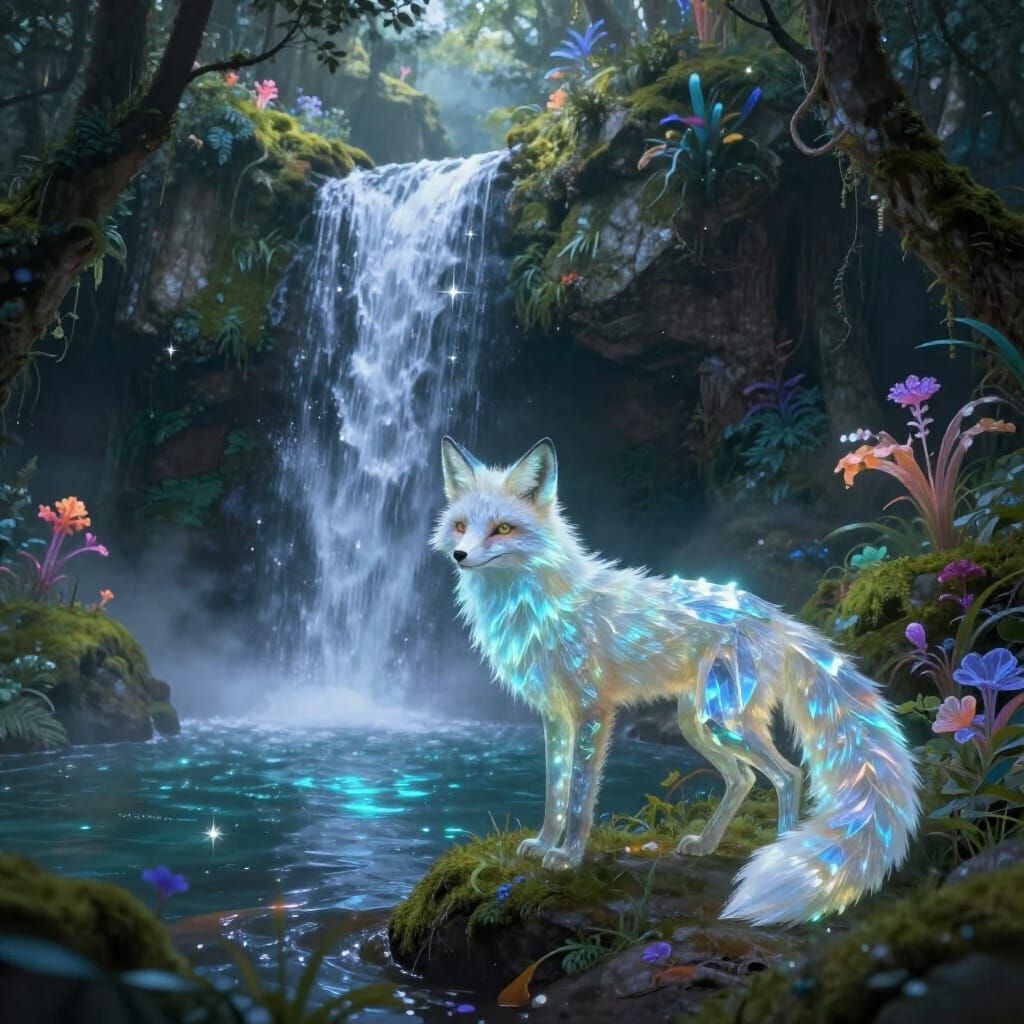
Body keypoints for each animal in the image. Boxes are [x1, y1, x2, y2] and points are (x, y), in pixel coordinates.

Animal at [431, 436, 921, 926]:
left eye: (503, 529)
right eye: (461, 526)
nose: (459, 556)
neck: (541, 607)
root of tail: (778, 617)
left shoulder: (593, 709)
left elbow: (580, 799)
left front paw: (569, 857)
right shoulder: (555, 714)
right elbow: (555, 793)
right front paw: (544, 844)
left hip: (726, 721)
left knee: (788, 775)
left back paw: (779, 853)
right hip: (697, 723)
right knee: (743, 779)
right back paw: (706, 844)